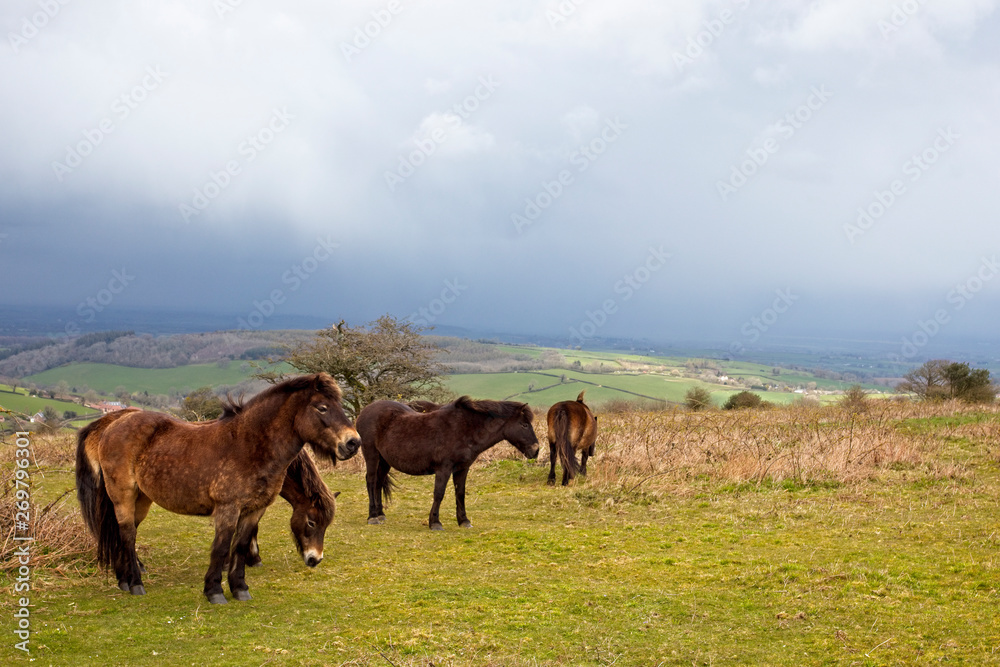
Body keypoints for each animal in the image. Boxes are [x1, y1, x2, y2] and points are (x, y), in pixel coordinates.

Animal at [76, 376, 362, 604]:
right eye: (322, 407)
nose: (353, 443)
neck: (249, 445)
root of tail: (112, 425)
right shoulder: (228, 509)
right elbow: (222, 547)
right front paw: (214, 591)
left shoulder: (254, 510)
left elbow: (241, 545)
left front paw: (240, 588)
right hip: (123, 496)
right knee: (127, 534)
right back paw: (135, 583)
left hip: (142, 499)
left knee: (124, 533)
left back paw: (123, 579)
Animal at [354, 396, 536, 532]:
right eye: (524, 424)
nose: (536, 450)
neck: (464, 429)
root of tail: (365, 412)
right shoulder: (444, 468)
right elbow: (439, 493)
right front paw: (435, 522)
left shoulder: (462, 469)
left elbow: (460, 493)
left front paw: (464, 520)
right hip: (371, 454)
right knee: (371, 481)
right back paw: (372, 517)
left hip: (385, 461)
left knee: (378, 483)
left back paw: (380, 514)